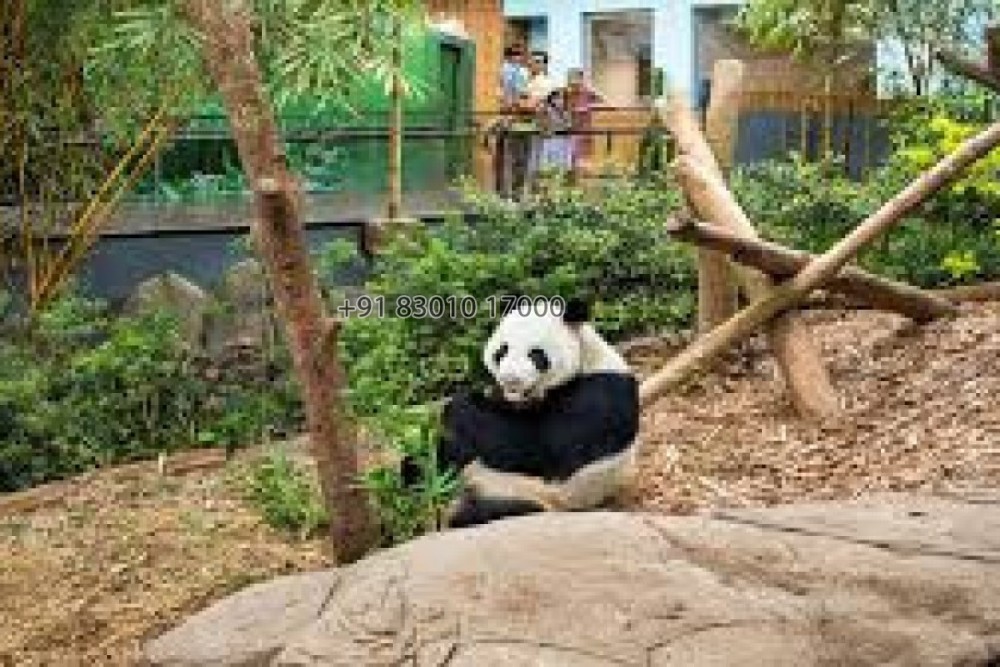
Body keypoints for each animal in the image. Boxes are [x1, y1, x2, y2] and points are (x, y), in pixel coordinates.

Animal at [404, 299, 640, 529]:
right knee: (424, 462)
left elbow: (539, 449)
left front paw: (461, 405)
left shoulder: (601, 394)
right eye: (502, 350)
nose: (510, 380)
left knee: (489, 509)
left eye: (535, 354)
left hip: (533, 493)